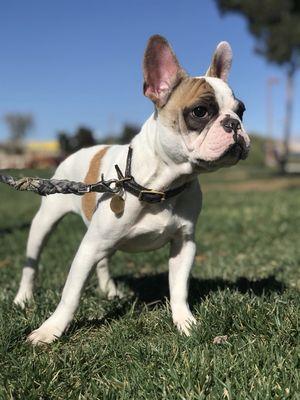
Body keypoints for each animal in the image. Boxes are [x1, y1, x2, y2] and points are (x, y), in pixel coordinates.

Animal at [15, 34, 252, 344]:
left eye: (241, 110)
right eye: (200, 112)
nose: (233, 124)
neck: (160, 186)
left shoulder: (184, 244)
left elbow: (179, 288)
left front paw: (185, 322)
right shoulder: (88, 248)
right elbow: (70, 295)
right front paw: (50, 330)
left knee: (104, 263)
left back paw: (110, 291)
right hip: (45, 223)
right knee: (31, 264)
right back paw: (23, 298)